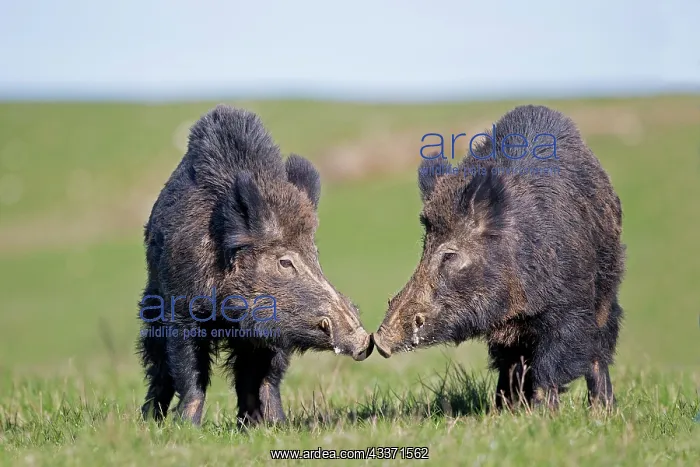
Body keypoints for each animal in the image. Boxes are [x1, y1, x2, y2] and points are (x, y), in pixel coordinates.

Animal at [138, 105, 373, 426]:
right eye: (284, 262)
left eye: (315, 254)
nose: (365, 341)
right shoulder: (181, 312)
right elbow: (191, 374)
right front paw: (187, 427)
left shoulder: (271, 331)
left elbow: (264, 379)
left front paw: (275, 425)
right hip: (153, 305)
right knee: (158, 367)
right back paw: (148, 419)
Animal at [373, 105, 624, 410]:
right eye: (425, 246)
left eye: (450, 255)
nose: (379, 341)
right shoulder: (504, 332)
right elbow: (510, 365)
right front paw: (506, 412)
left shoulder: (570, 308)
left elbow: (551, 365)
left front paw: (543, 413)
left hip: (607, 293)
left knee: (600, 349)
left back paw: (603, 410)